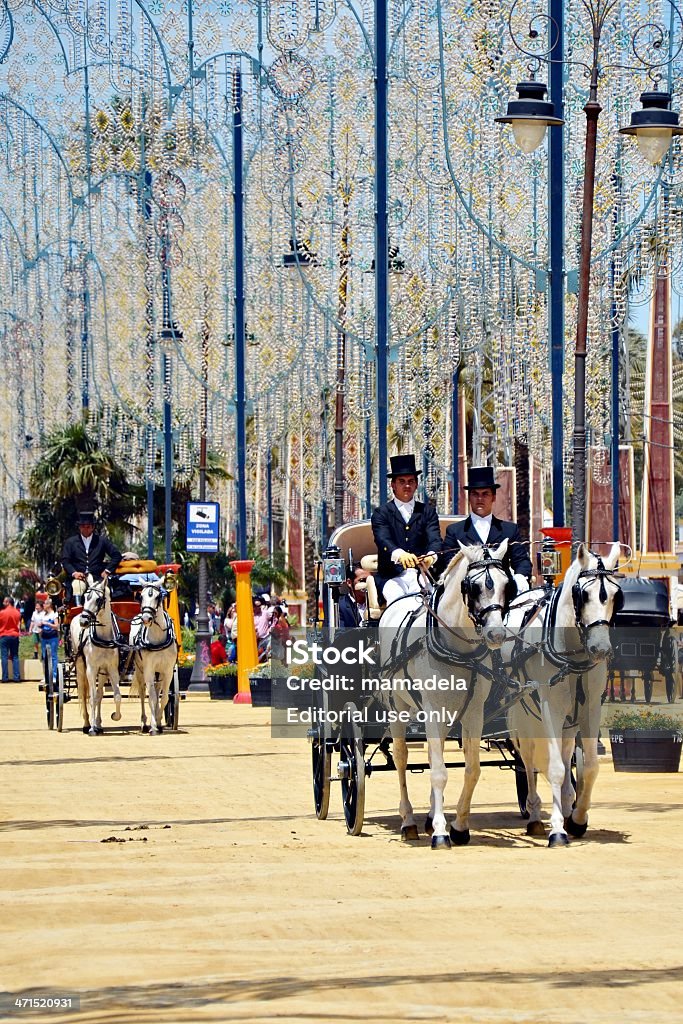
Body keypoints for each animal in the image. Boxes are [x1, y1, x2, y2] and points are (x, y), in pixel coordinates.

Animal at [72, 577, 125, 737]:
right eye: (85, 597)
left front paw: (115, 716)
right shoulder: (91, 669)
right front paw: (92, 728)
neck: (103, 637)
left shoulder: (112, 669)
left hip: (102, 672)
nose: (83, 621)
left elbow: (116, 696)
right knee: (84, 694)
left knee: (100, 694)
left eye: (98, 599)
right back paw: (87, 724)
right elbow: (92, 697)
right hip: (80, 668)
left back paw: (99, 724)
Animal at [130, 585, 179, 737]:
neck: (158, 638)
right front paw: (152, 726)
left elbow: (164, 698)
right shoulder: (148, 670)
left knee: (158, 691)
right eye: (141, 596)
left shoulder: (168, 671)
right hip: (140, 671)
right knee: (142, 693)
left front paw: (158, 721)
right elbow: (150, 697)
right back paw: (144, 723)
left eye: (158, 597)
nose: (146, 618)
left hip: (160, 674)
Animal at [378, 540, 518, 851]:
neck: (458, 650)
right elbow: (439, 772)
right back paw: (408, 821)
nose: (496, 634)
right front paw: (442, 833)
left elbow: (471, 769)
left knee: (434, 756)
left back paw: (430, 816)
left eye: (507, 585)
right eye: (473, 587)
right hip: (398, 708)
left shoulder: (474, 713)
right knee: (402, 758)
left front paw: (459, 826)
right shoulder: (433, 710)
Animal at [505, 544, 622, 847]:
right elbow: (555, 768)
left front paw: (577, 818)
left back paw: (568, 804)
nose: (601, 649)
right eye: (583, 595)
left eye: (615, 595)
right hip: (524, 712)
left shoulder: (590, 709)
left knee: (565, 752)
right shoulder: (550, 708)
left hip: (569, 720)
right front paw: (557, 828)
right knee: (527, 759)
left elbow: (589, 765)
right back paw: (535, 814)